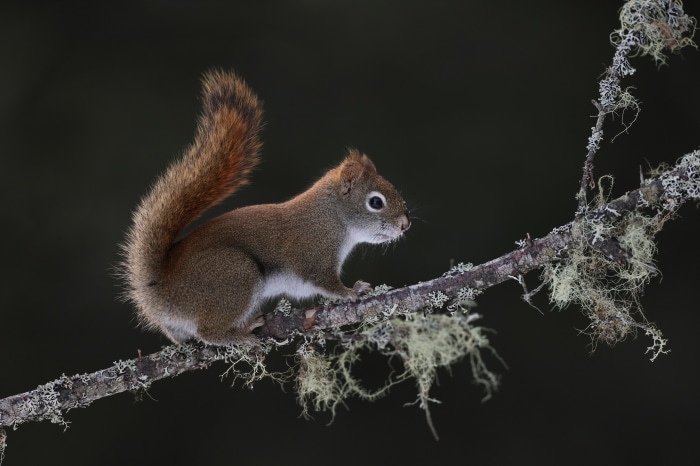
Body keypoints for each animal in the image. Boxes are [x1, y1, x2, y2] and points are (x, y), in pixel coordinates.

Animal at [121, 70, 410, 346]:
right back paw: (242, 333)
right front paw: (351, 291)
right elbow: (326, 283)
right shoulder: (313, 254)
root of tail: (160, 291)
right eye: (376, 202)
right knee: (208, 331)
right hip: (235, 275)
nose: (405, 225)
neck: (332, 217)